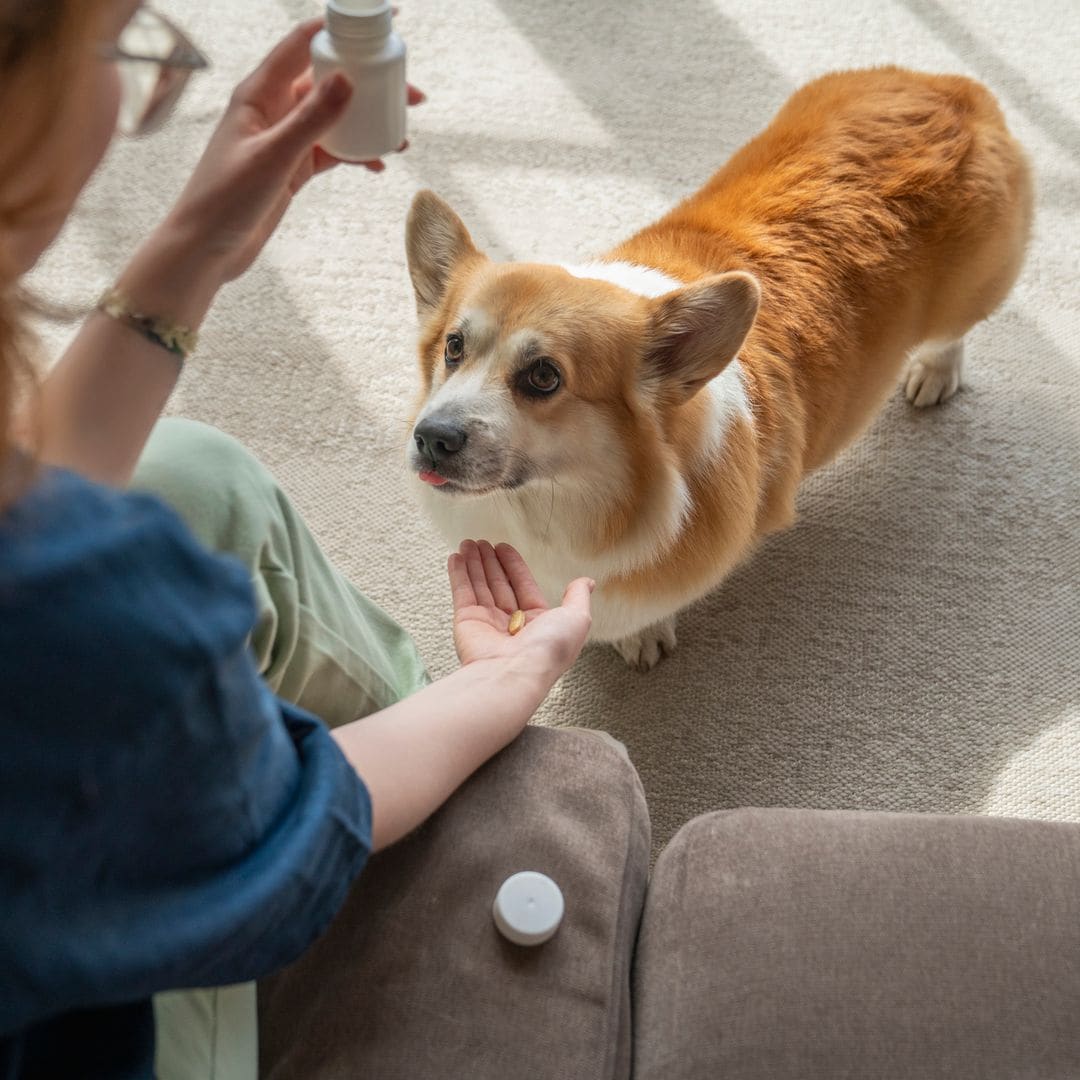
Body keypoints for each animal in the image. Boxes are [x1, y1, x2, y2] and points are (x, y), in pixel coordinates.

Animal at [403, 67, 1028, 665]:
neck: (563, 504)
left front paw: (643, 640)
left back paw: (934, 373)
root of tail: (954, 88)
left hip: (971, 292)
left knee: (953, 333)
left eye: (543, 376)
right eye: (453, 346)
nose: (431, 438)